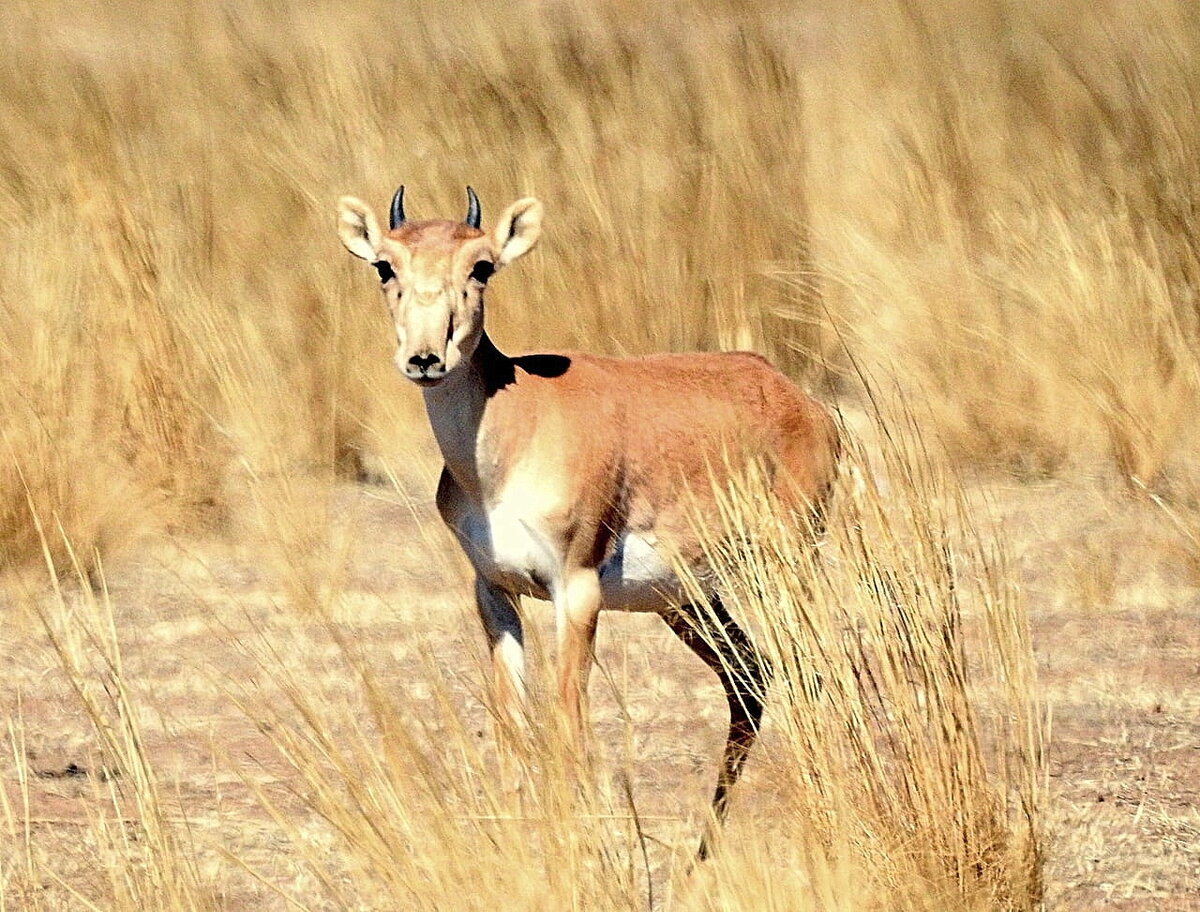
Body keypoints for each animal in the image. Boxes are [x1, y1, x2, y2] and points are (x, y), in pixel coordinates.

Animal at [338, 183, 840, 854]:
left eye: (481, 265)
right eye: (384, 265)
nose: (424, 358)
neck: (513, 427)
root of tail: (800, 400)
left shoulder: (575, 592)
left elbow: (568, 726)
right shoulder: (494, 593)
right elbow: (512, 728)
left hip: (785, 572)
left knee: (812, 674)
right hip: (687, 602)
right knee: (750, 681)